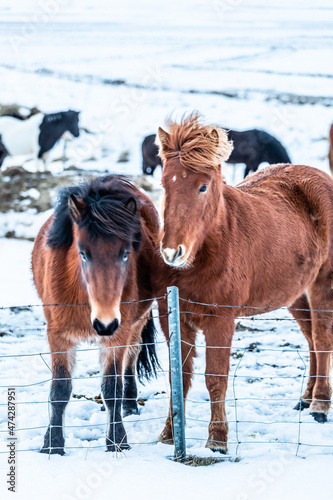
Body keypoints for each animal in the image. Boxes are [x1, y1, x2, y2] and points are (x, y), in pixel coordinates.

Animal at [32, 174, 160, 456]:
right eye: (83, 253)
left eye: (126, 253)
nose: (105, 323)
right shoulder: (58, 336)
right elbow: (60, 389)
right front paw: (52, 444)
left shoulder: (117, 336)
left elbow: (112, 387)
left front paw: (117, 441)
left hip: (136, 323)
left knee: (131, 358)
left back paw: (129, 404)